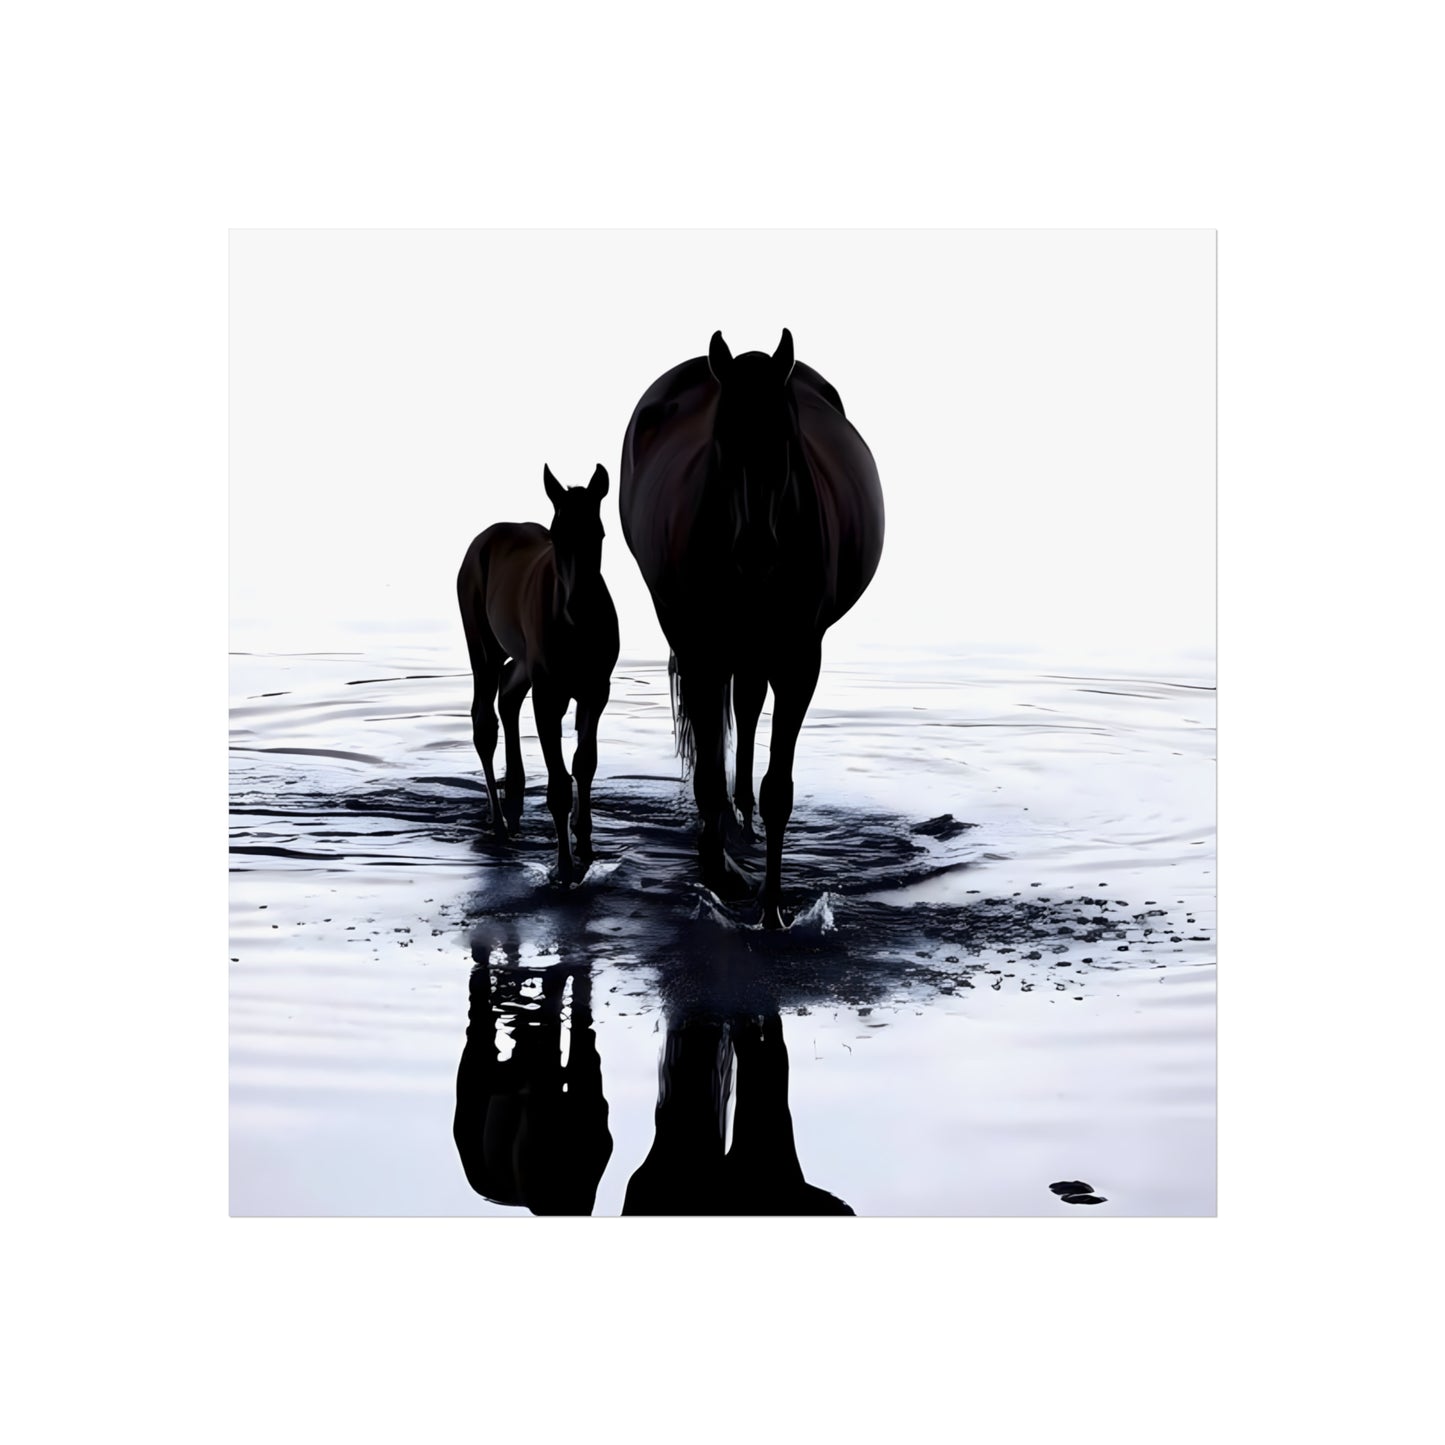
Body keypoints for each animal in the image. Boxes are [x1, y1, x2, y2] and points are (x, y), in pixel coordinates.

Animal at [456, 462, 619, 884]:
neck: (576, 630)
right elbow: (559, 784)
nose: (577, 604)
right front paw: (564, 868)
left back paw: (514, 788)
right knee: (484, 720)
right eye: (558, 535)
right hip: (482, 647)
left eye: (598, 533)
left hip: (525, 661)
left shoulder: (596, 691)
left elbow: (585, 764)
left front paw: (586, 845)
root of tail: (483, 539)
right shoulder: (549, 696)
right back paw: (500, 822)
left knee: (509, 692)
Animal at [619, 329, 884, 926]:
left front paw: (772, 912)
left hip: (756, 648)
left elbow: (777, 788)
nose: (758, 550)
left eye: (786, 437)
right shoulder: (699, 649)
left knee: (745, 708)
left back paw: (744, 824)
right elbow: (707, 779)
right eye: (722, 439)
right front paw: (718, 880)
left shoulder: (799, 658)